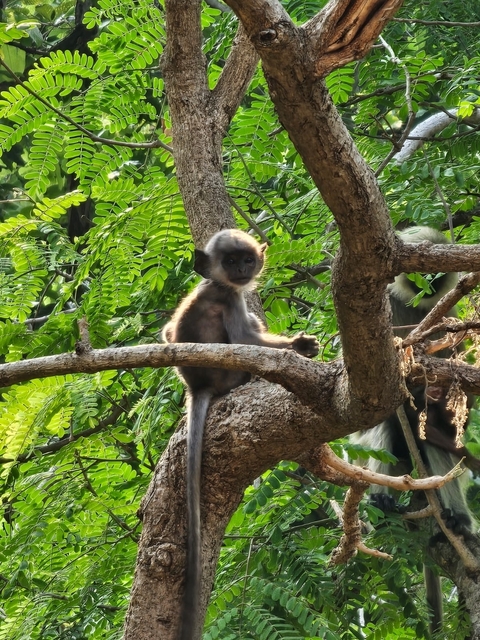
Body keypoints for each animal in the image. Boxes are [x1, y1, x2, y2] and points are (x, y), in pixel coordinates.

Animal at [163, 229, 319, 640]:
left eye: (247, 260)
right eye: (230, 261)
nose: (241, 271)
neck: (216, 283)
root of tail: (197, 385)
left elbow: (167, 334)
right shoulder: (229, 298)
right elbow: (248, 342)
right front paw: (300, 346)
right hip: (229, 373)